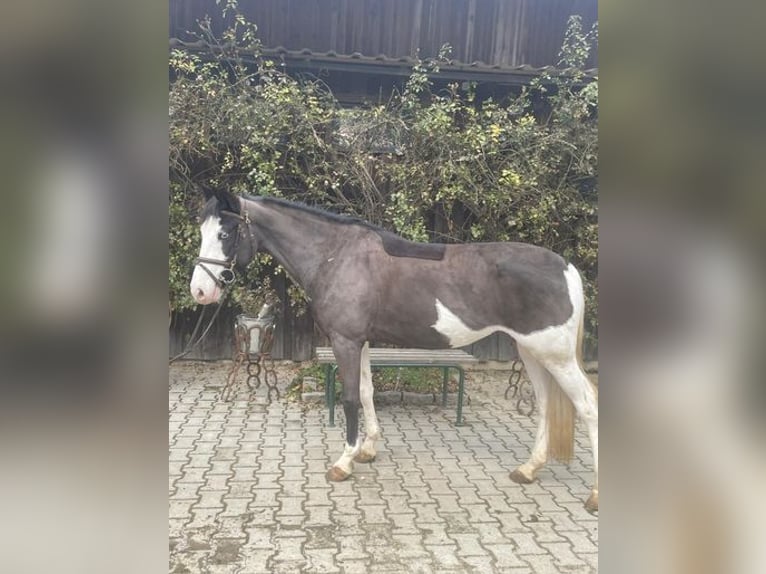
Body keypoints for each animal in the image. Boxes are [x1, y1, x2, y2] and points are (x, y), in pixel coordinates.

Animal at [189, 187, 598, 512]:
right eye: (201, 231)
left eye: (225, 233)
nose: (200, 291)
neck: (335, 255)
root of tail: (567, 268)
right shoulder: (362, 341)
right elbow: (367, 391)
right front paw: (368, 449)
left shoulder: (345, 340)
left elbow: (350, 398)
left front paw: (344, 461)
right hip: (531, 352)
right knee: (546, 403)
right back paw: (528, 469)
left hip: (555, 355)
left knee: (587, 406)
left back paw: (593, 495)